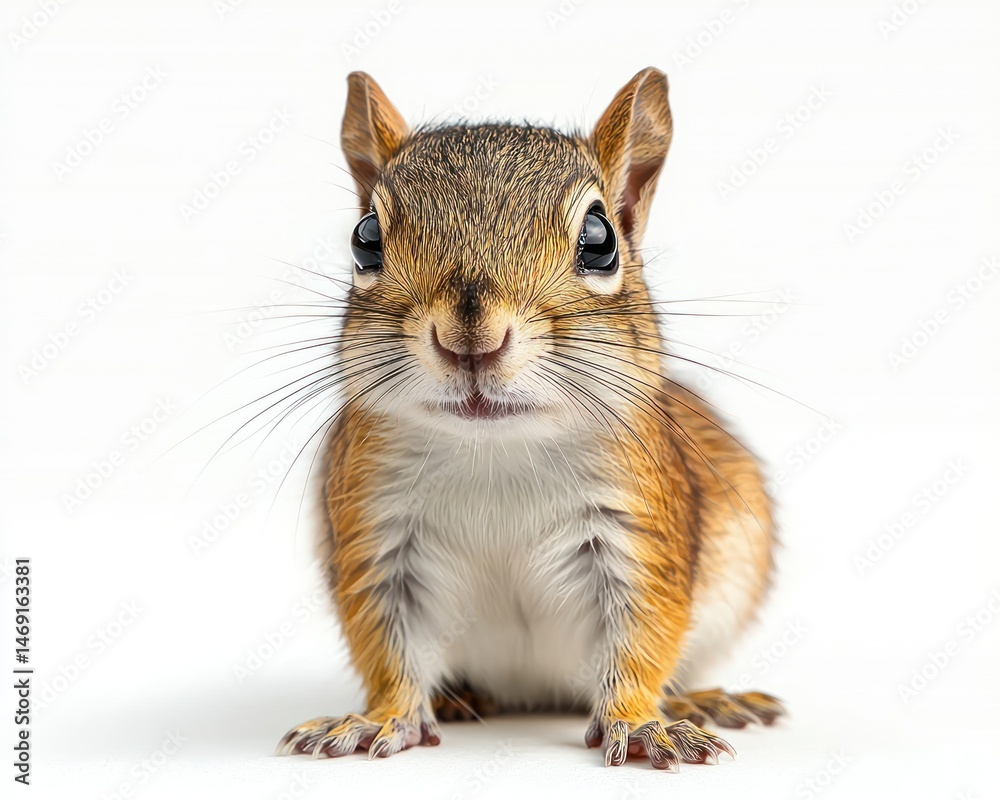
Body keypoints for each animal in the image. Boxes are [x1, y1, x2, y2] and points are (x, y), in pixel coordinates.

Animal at [276, 67, 783, 770]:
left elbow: (644, 637)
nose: (472, 338)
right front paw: (380, 719)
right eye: (365, 239)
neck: (495, 450)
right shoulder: (375, 535)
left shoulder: (638, 531)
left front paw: (641, 723)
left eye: (600, 240)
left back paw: (699, 700)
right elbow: (385, 647)